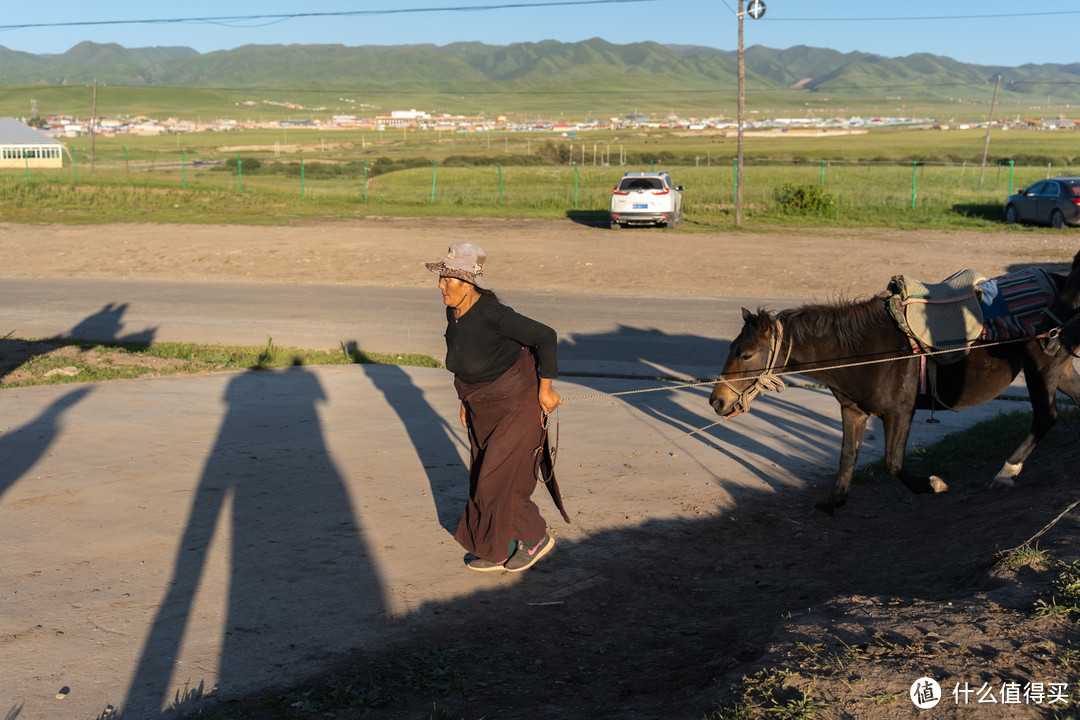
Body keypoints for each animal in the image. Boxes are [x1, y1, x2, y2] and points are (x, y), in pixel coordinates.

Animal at [704, 255, 1080, 515]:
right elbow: (847, 456)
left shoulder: (900, 412)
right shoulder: (853, 411)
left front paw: (933, 484)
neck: (865, 350)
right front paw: (833, 501)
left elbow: (893, 463)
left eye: (746, 354)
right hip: (1060, 369)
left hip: (1043, 368)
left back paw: (1006, 471)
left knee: (1045, 417)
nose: (717, 401)